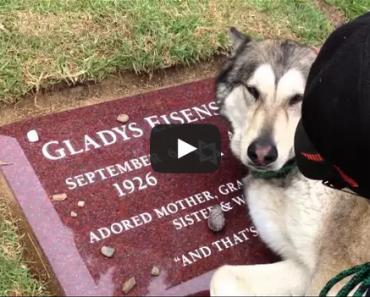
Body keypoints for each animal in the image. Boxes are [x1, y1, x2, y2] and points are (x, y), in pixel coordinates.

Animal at [210, 27, 370, 294]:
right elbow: (220, 274)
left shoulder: (332, 273)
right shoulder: (304, 268)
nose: (261, 153)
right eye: (253, 91)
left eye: (297, 99)